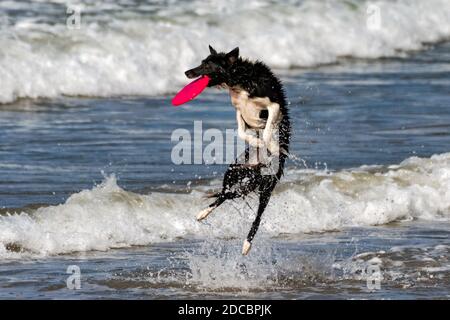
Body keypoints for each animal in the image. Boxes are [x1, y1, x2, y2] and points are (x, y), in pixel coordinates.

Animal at [184, 45, 292, 255]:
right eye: (202, 62)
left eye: (207, 65)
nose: (187, 72)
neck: (240, 79)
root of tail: (255, 172)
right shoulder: (239, 112)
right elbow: (243, 131)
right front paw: (257, 142)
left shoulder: (274, 105)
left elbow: (268, 129)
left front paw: (271, 146)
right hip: (234, 170)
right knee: (225, 194)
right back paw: (203, 213)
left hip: (267, 186)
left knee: (257, 217)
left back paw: (246, 245)